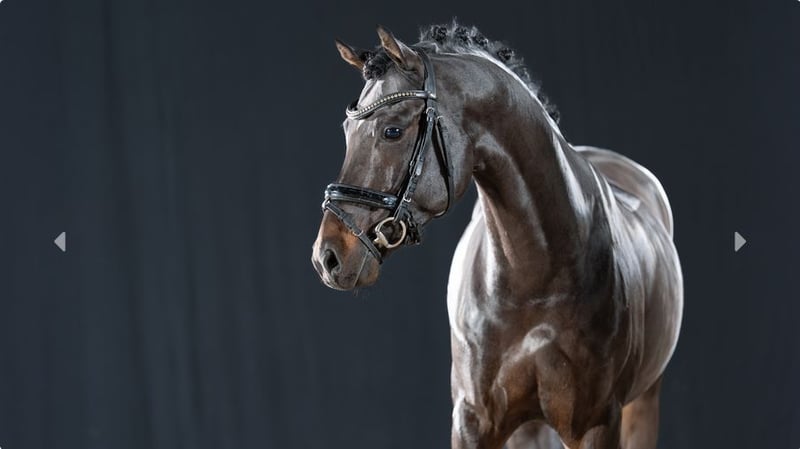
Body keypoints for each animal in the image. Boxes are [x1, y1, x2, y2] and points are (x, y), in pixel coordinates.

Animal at [311, 23, 683, 449]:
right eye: (346, 129)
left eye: (392, 130)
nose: (328, 256)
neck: (533, 273)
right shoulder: (473, 422)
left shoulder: (596, 423)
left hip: (642, 403)